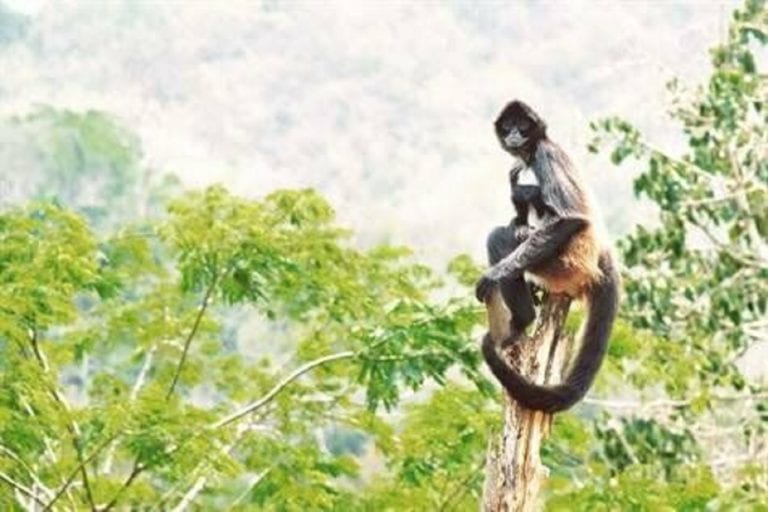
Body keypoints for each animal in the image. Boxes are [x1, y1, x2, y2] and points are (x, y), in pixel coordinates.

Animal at [475, 100, 620, 413]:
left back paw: (523, 319)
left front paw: (494, 275)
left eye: (522, 126)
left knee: (500, 234)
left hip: (560, 264)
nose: (513, 135)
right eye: (509, 125)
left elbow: (569, 218)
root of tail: (601, 254)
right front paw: (518, 222)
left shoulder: (545, 155)